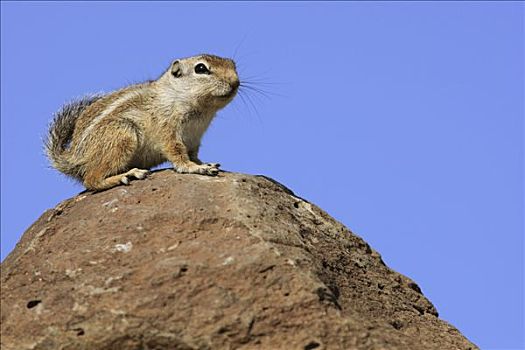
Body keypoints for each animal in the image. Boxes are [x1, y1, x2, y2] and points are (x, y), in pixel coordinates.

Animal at [46, 54, 238, 190]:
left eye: (233, 64)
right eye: (201, 68)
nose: (235, 82)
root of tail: (72, 157)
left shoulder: (194, 139)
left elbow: (194, 155)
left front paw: (204, 164)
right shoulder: (167, 130)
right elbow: (177, 154)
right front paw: (195, 168)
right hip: (122, 134)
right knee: (91, 179)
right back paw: (126, 175)